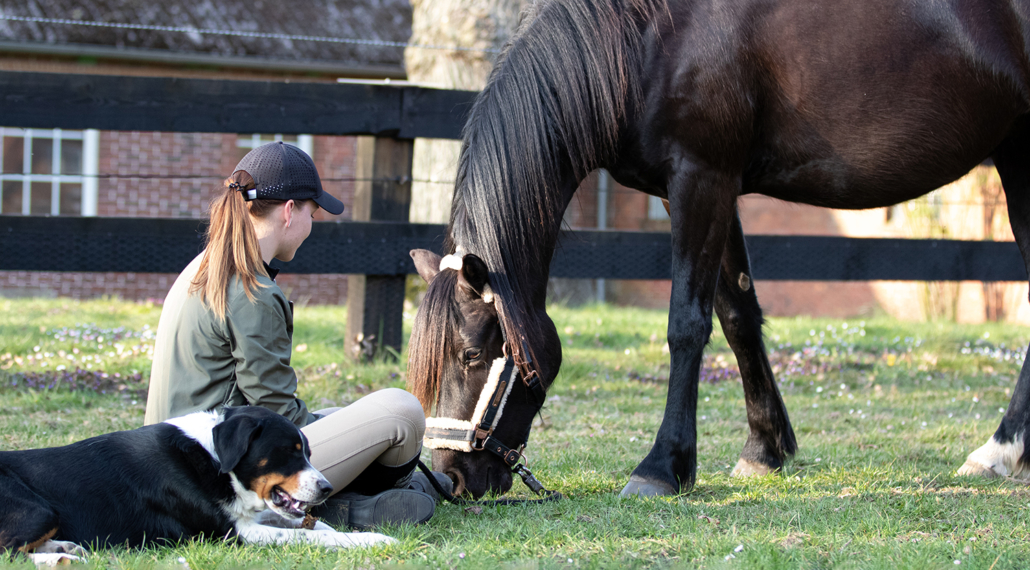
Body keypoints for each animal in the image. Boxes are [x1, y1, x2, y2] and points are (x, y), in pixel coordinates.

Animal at [0, 406, 391, 560]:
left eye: (307, 451)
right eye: (289, 452)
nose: (326, 488)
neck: (214, 460)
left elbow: (319, 526)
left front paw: (366, 535)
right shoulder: (234, 534)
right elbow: (314, 535)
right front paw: (371, 540)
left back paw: (63, 548)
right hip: (39, 510)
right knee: (10, 553)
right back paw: (58, 556)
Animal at [405, 0, 1025, 494]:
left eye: (472, 355)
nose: (449, 477)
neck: (647, 35)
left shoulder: (701, 178)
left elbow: (686, 324)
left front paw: (662, 467)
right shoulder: (703, 189)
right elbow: (737, 317)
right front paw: (763, 451)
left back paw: (999, 450)